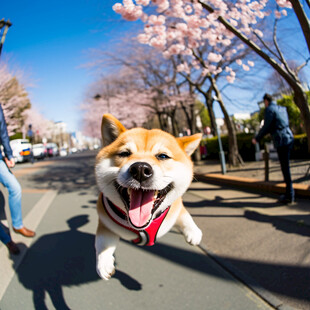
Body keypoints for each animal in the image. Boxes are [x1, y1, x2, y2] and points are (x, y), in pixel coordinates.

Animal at [94, 114, 203, 280]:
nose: (140, 169)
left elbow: (185, 215)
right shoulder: (106, 222)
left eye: (163, 156)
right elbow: (103, 243)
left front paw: (193, 232)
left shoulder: (176, 207)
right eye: (124, 153)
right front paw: (104, 263)